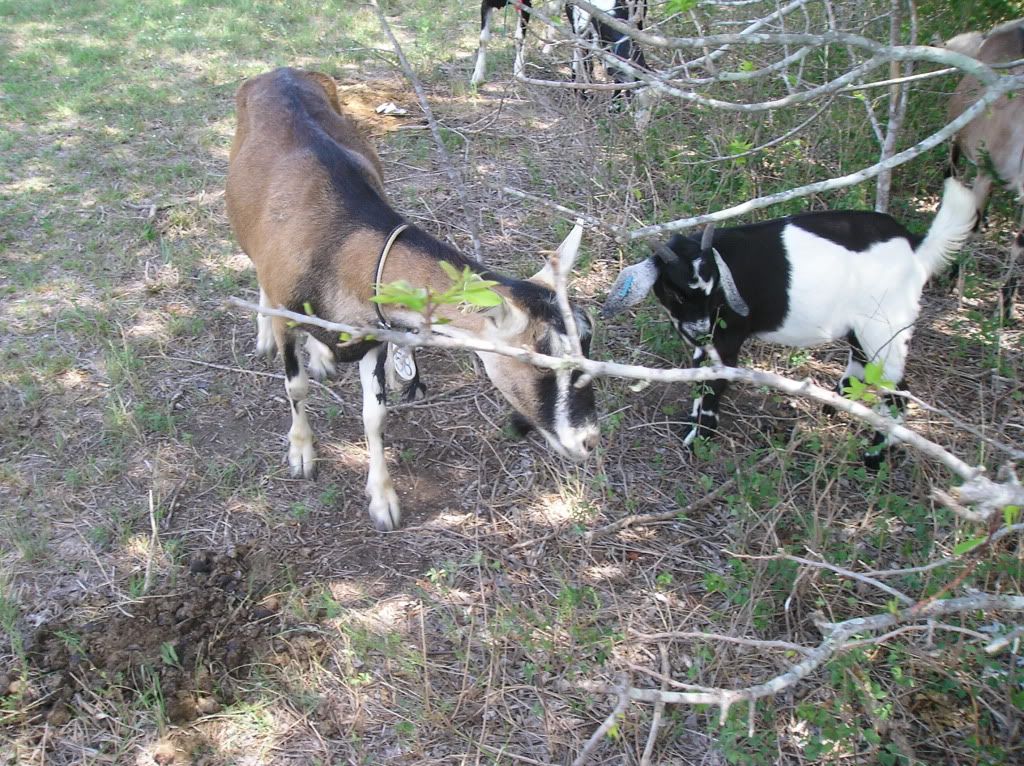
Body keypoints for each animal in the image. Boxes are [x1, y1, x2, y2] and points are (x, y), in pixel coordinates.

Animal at [226, 68, 599, 531]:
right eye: (538, 361)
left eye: (588, 342)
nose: (588, 440)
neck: (339, 241)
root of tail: (278, 72)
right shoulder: (288, 312)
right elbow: (295, 387)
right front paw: (301, 453)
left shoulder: (375, 335)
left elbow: (375, 416)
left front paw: (383, 501)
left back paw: (325, 356)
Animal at [601, 178, 977, 466]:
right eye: (675, 293)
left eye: (713, 291)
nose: (700, 328)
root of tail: (914, 247)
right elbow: (698, 379)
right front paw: (693, 422)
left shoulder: (726, 339)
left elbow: (714, 384)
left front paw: (699, 438)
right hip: (862, 328)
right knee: (860, 366)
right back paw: (832, 410)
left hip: (886, 326)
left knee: (897, 392)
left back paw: (874, 456)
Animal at [945, 18, 1024, 320]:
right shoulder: (985, 173)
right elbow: (971, 223)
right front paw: (952, 281)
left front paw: (1007, 306)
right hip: (956, 137)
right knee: (951, 172)